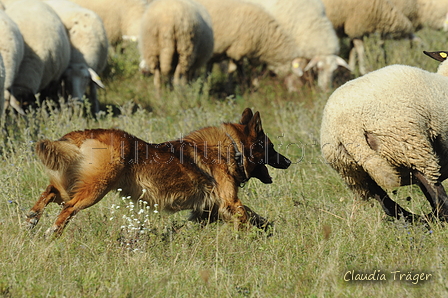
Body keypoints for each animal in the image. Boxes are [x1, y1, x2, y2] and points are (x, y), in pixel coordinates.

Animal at [28, 108, 292, 236]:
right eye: (271, 147)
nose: (289, 161)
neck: (233, 147)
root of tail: (87, 132)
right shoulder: (229, 202)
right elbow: (246, 216)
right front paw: (254, 238)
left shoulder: (211, 208)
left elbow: (255, 216)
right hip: (95, 188)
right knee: (68, 208)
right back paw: (53, 229)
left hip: (75, 181)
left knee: (50, 192)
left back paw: (33, 217)